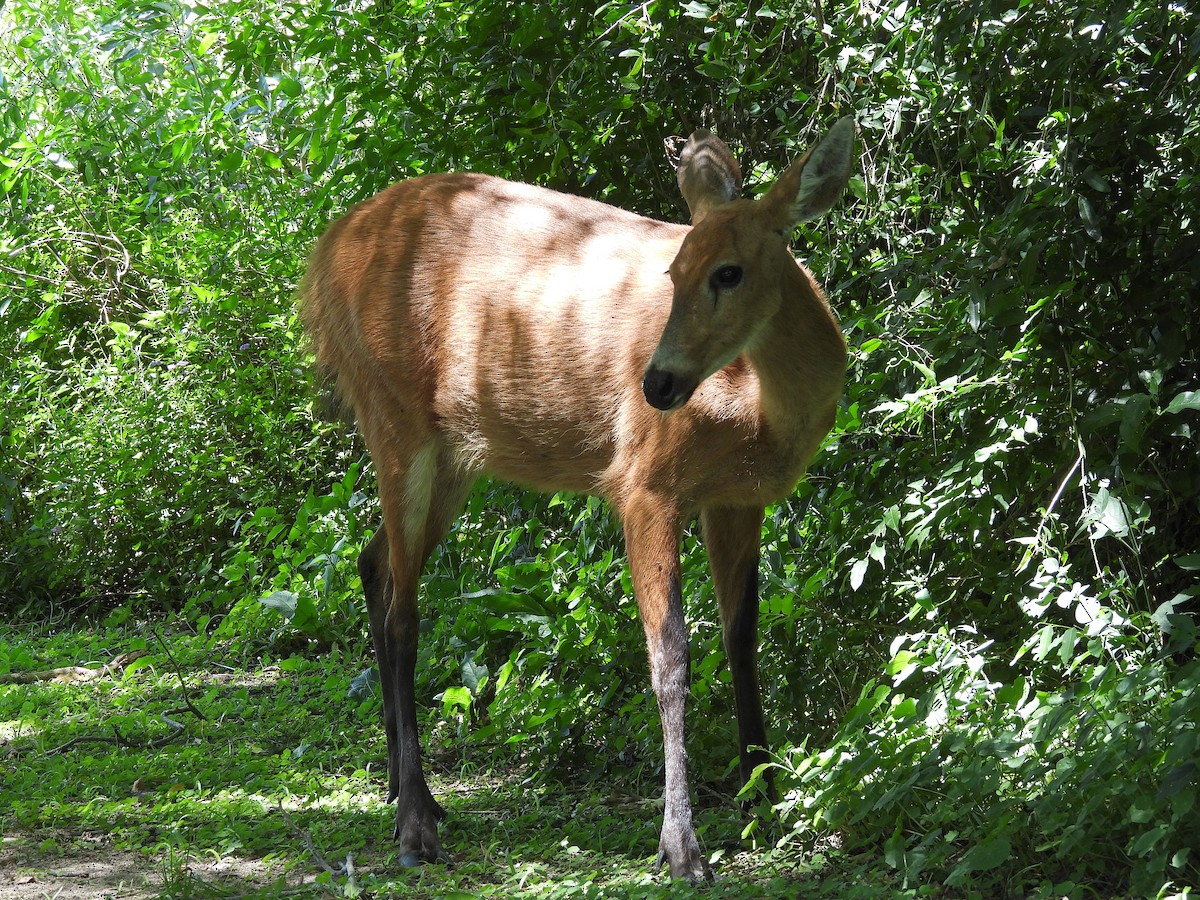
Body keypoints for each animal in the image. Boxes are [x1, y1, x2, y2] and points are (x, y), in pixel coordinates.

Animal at [299, 116, 855, 881]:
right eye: (673, 273)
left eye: (728, 272)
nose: (657, 383)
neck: (757, 413)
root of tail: (321, 256)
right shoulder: (645, 483)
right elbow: (670, 657)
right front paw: (682, 847)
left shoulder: (739, 499)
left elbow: (742, 638)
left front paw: (763, 795)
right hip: (393, 412)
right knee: (405, 612)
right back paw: (416, 825)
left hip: (452, 453)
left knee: (373, 561)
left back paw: (405, 790)